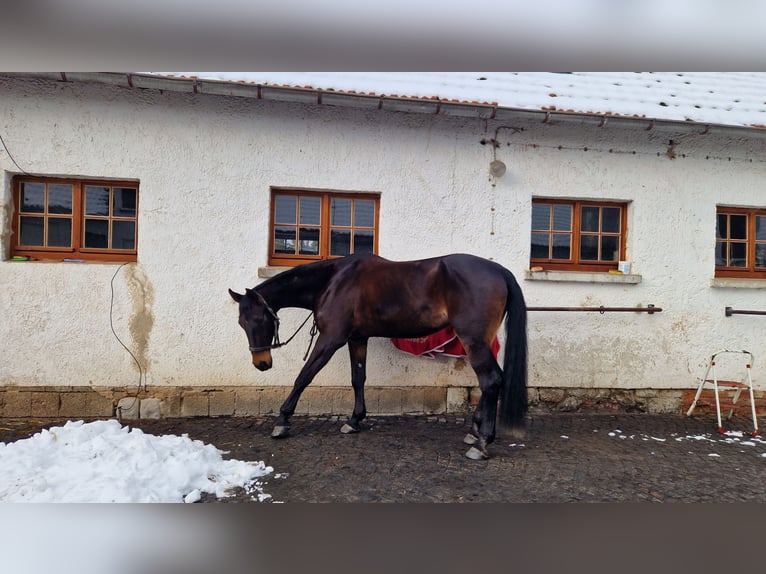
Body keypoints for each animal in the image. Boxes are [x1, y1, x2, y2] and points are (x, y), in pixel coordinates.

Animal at [229, 253, 528, 460]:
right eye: (242, 323)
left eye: (259, 320)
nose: (261, 363)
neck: (333, 282)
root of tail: (500, 271)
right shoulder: (357, 339)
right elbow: (357, 378)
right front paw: (354, 421)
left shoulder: (331, 340)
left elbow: (304, 377)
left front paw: (282, 421)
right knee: (488, 382)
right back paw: (474, 432)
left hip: (473, 339)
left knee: (491, 380)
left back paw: (482, 442)